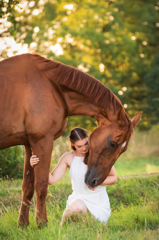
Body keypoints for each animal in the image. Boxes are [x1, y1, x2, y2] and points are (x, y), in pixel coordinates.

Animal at [0, 53, 142, 226]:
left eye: (124, 149)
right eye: (113, 144)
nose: (95, 181)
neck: (51, 85)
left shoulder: (29, 144)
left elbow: (27, 186)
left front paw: (23, 225)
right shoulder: (42, 141)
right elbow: (41, 185)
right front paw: (42, 224)